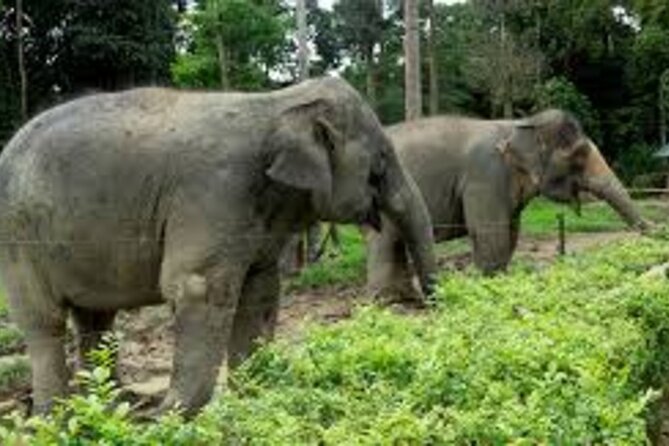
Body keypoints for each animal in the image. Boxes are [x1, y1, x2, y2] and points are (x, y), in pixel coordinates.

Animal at [0, 77, 437, 416]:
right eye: (380, 163)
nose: (427, 305)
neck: (278, 104)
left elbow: (260, 292)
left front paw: (255, 396)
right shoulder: (212, 195)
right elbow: (198, 288)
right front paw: (172, 418)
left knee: (96, 321)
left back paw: (109, 406)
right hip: (19, 240)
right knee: (45, 322)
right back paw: (55, 416)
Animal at [367, 109, 648, 300]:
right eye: (578, 157)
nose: (651, 237)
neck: (519, 124)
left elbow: (511, 232)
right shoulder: (485, 174)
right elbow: (491, 232)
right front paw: (489, 288)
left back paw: (404, 298)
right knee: (386, 240)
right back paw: (392, 301)